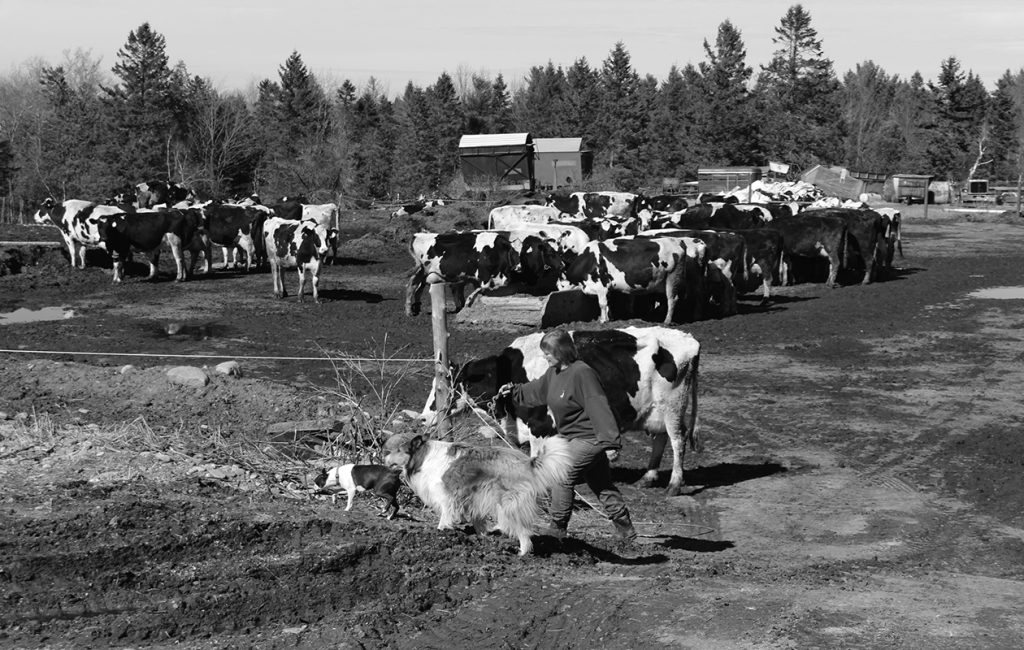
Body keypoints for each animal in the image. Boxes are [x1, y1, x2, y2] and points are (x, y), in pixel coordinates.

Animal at [385, 431, 577, 552]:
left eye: (398, 451)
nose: (383, 458)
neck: (422, 457)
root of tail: (528, 462)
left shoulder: (447, 495)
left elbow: (445, 515)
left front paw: (442, 531)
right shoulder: (474, 497)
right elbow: (477, 520)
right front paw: (482, 536)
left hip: (509, 503)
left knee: (523, 531)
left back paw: (522, 552)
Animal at [417, 327, 704, 495]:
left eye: (441, 389)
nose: (423, 418)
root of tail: (689, 339)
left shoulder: (539, 426)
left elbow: (536, 457)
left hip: (673, 406)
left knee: (677, 440)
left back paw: (674, 484)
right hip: (656, 411)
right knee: (660, 438)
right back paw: (648, 477)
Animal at [557, 234, 708, 325]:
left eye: (562, 286)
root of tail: (678, 240)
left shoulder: (601, 286)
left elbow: (602, 304)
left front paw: (603, 321)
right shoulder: (607, 287)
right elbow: (609, 303)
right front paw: (610, 318)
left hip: (673, 277)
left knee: (673, 299)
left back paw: (667, 321)